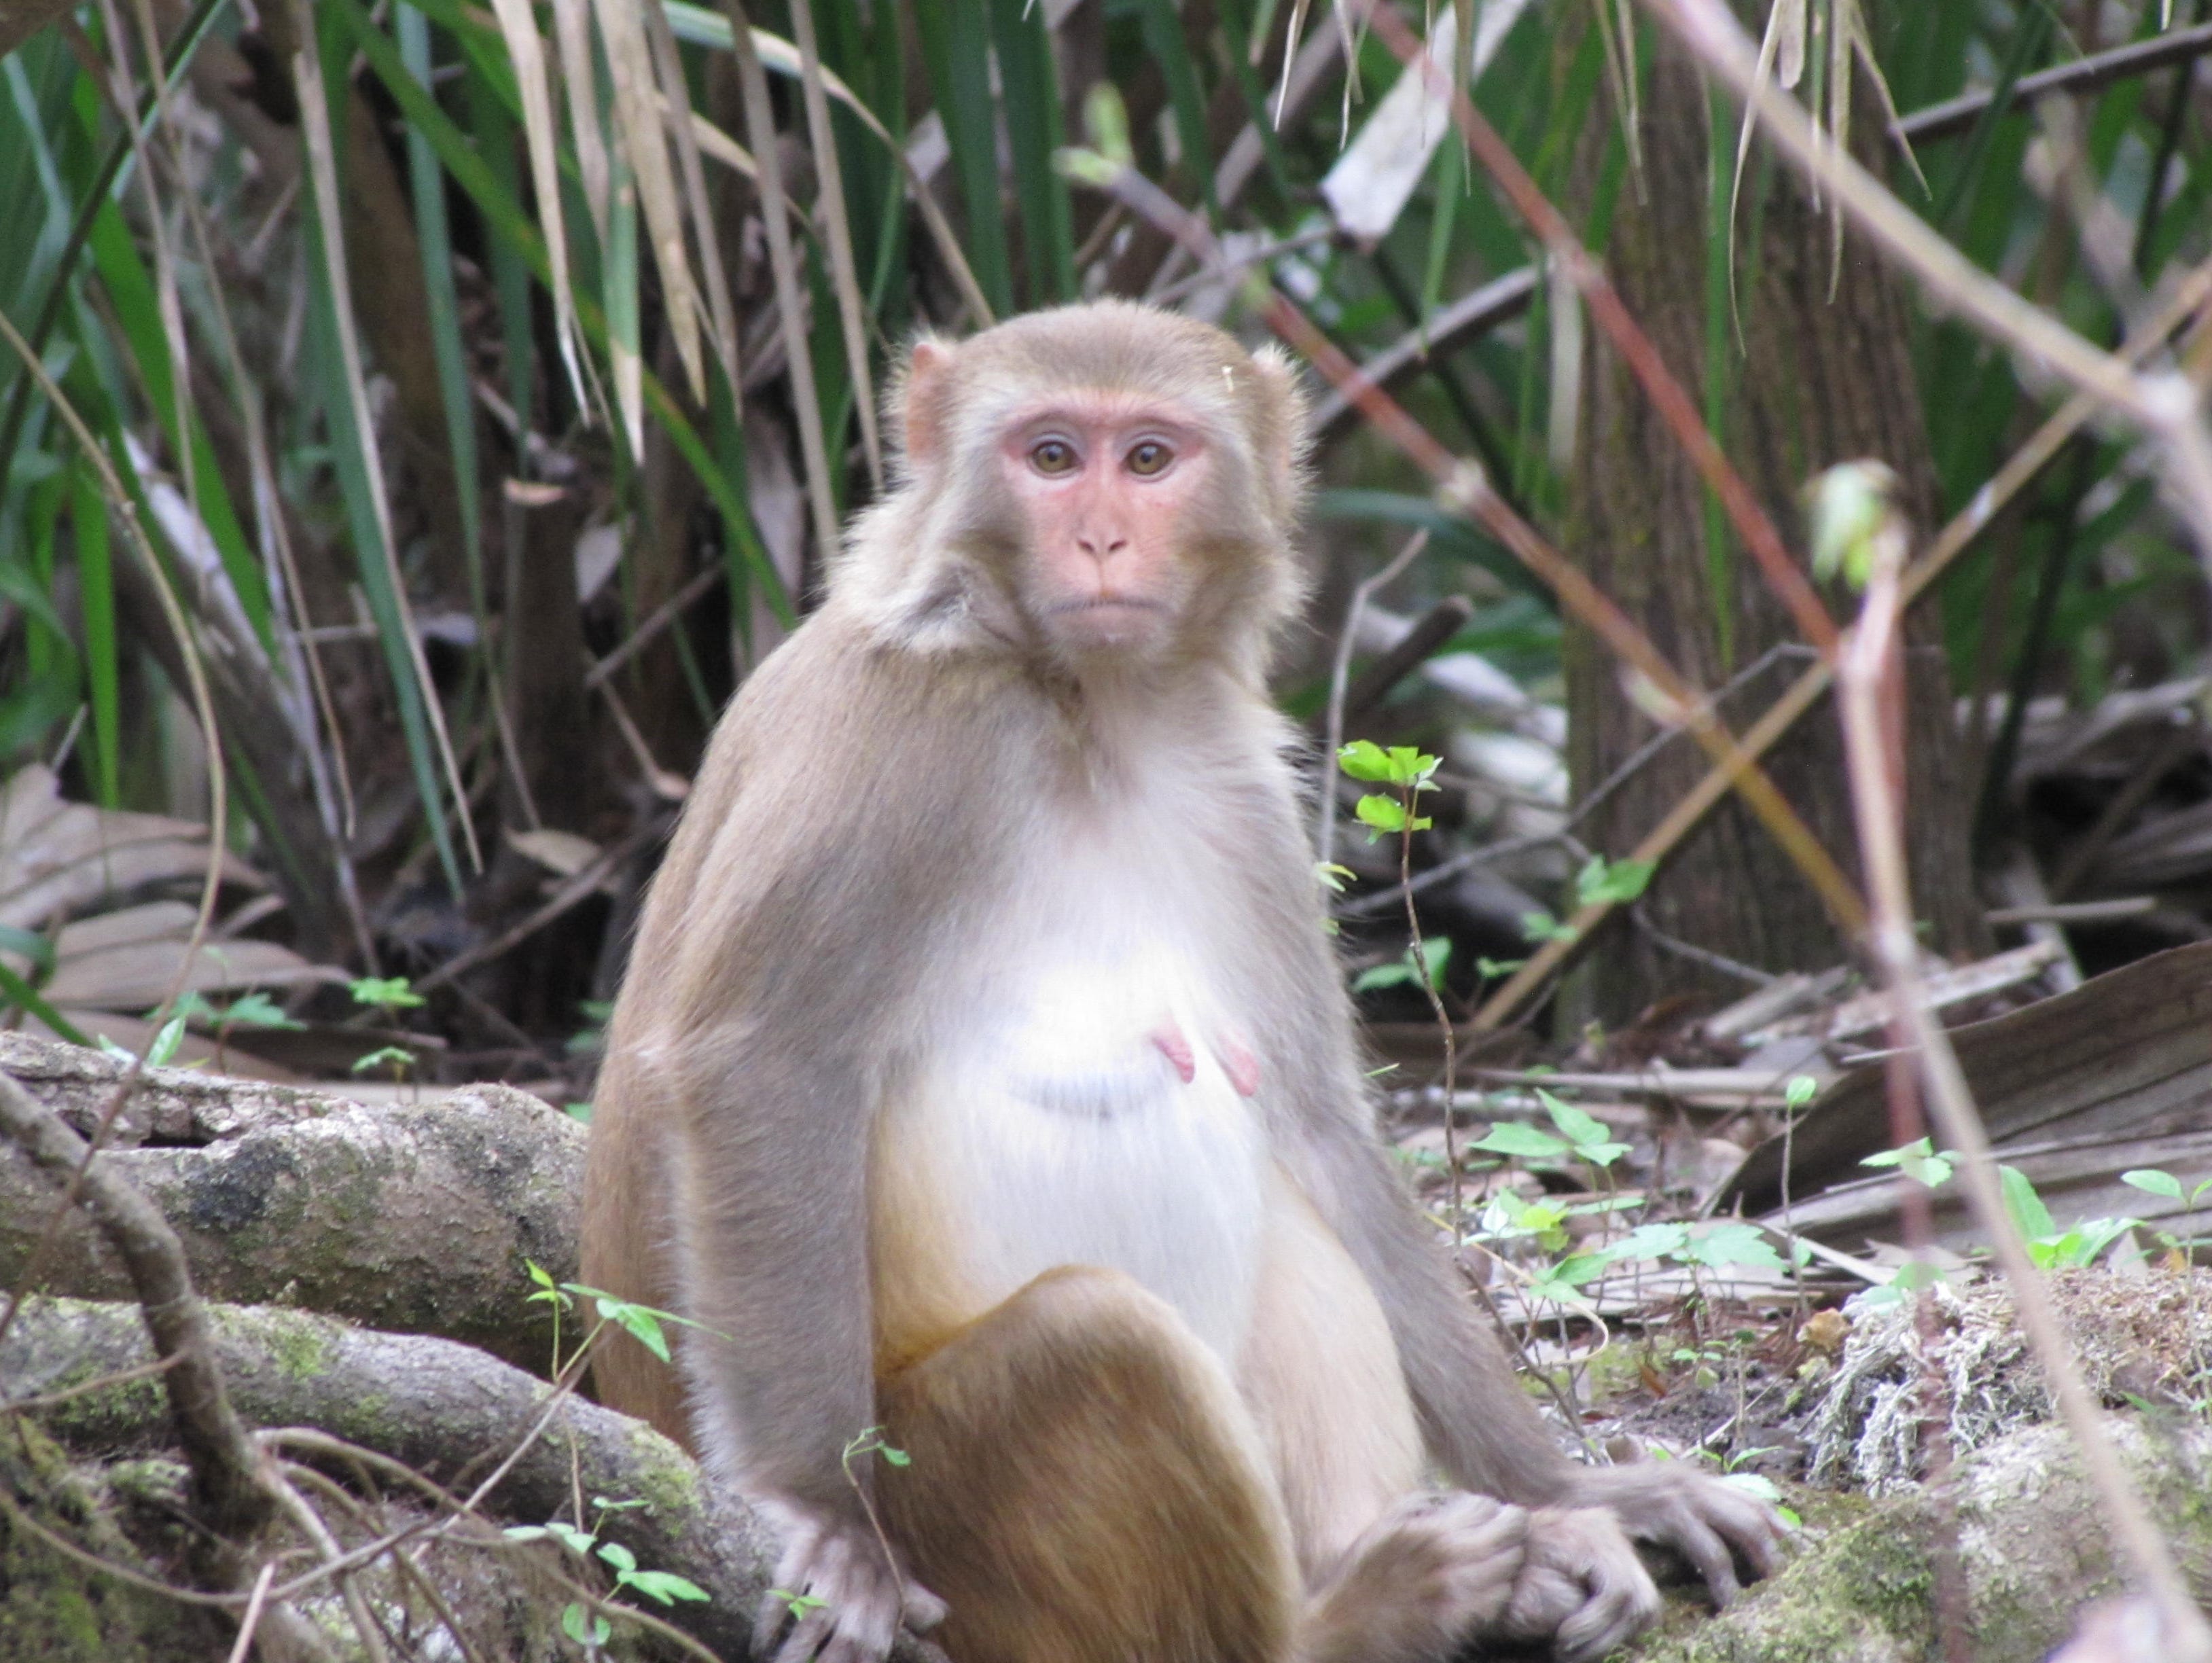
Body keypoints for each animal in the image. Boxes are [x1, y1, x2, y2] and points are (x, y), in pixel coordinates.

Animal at [581, 300, 1783, 1663]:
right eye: (1052, 457)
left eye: (1148, 460)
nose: (1102, 536)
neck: (1085, 706)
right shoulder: (913, 736)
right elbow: (760, 1063)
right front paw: (821, 1512)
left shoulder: (1238, 784)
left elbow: (1318, 1126)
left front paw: (1579, 1492)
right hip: (956, 1519)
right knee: (1095, 1337)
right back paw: (1352, 1618)